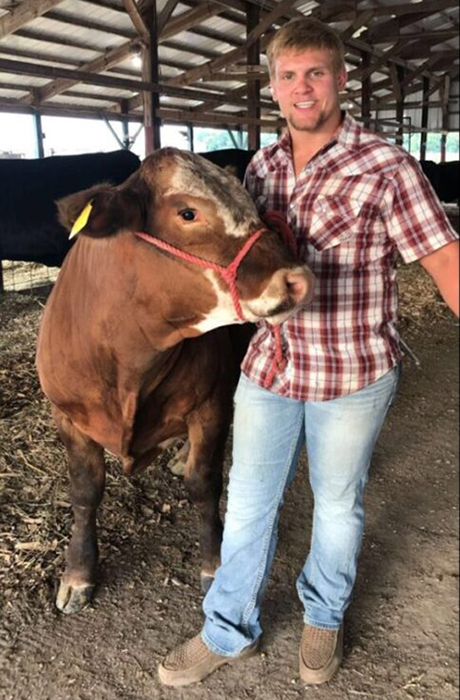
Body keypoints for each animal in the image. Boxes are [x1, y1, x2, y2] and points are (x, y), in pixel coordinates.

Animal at [36, 147, 315, 615]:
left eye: (254, 205)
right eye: (187, 213)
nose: (299, 280)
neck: (129, 364)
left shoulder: (210, 405)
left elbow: (204, 484)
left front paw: (214, 563)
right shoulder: (67, 417)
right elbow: (86, 491)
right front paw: (78, 574)